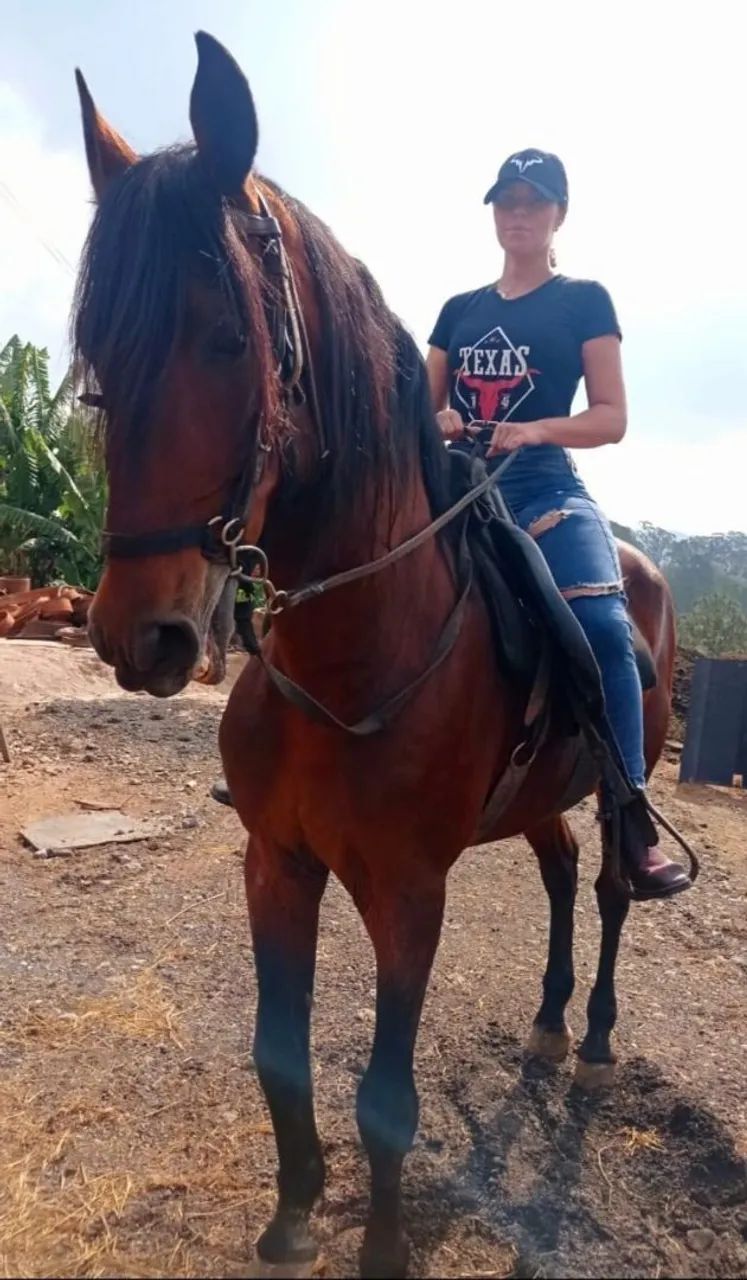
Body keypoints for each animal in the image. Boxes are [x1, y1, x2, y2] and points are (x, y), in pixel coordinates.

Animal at [73, 33, 677, 1278]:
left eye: (227, 338)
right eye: (98, 349)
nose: (140, 632)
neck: (349, 661)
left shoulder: (409, 893)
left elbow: (385, 1098)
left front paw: (383, 1247)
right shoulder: (275, 862)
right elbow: (280, 1054)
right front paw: (292, 1214)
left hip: (613, 785)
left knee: (607, 887)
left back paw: (594, 1031)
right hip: (539, 799)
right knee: (558, 873)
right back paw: (549, 1020)